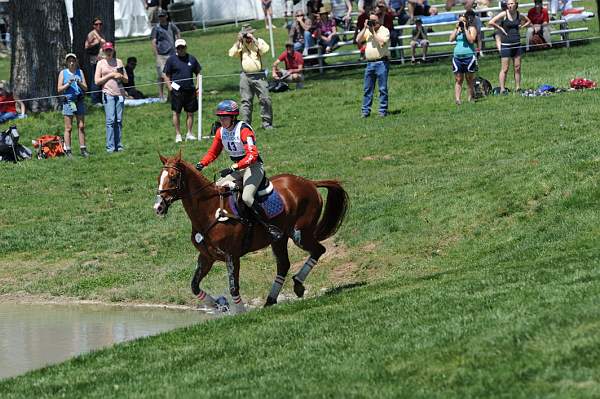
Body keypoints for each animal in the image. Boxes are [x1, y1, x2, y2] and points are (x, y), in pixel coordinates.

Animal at [155, 153, 350, 312]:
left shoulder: (231, 255)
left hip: (300, 233)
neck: (210, 210)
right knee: (284, 265)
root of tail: (309, 182)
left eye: (173, 178)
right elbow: (194, 286)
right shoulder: (206, 257)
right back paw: (271, 300)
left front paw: (240, 313)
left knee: (318, 250)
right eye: (159, 178)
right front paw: (219, 304)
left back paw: (297, 285)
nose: (158, 207)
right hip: (279, 239)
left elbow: (234, 286)